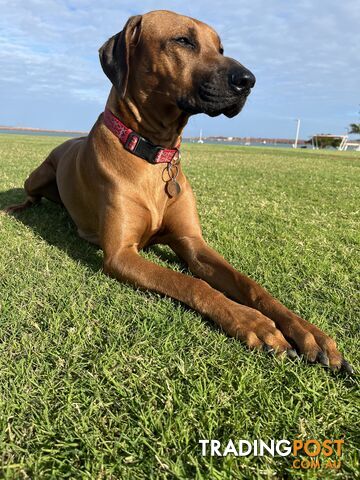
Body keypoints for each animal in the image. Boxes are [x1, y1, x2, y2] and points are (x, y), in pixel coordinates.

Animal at [7, 9, 352, 374]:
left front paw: (307, 331)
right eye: (183, 40)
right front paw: (254, 322)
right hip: (38, 174)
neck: (153, 153)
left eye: (220, 47)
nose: (248, 80)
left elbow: (250, 284)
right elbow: (191, 282)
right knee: (30, 194)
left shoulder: (193, 244)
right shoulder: (120, 255)